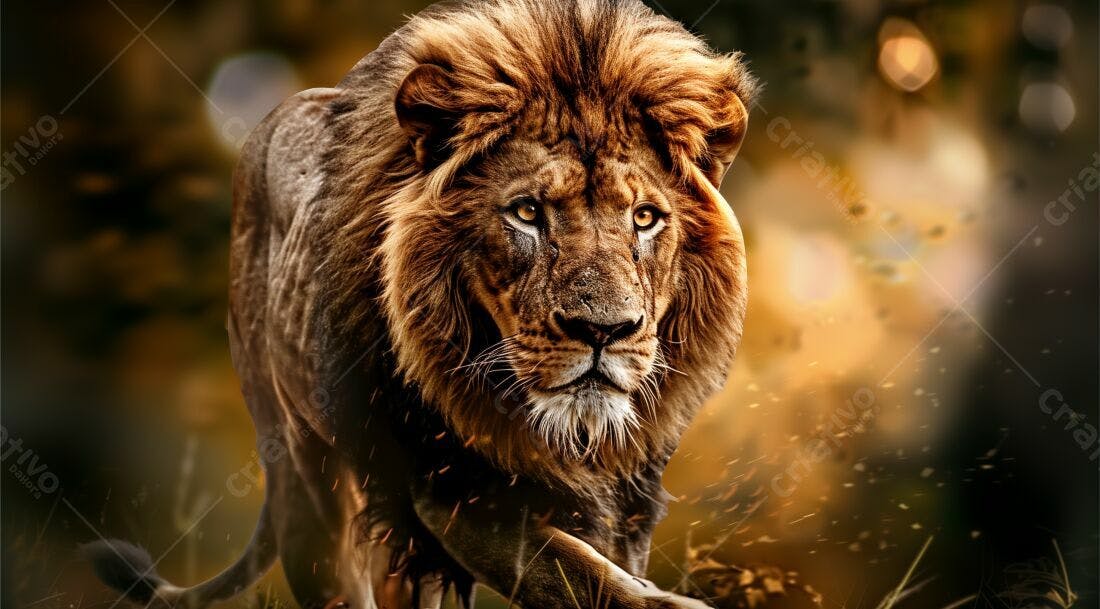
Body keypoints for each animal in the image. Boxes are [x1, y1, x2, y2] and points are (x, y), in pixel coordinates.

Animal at [84, 1, 756, 607]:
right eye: (527, 212)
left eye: (644, 218)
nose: (603, 331)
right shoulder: (450, 489)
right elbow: (576, 576)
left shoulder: (628, 500)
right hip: (306, 475)